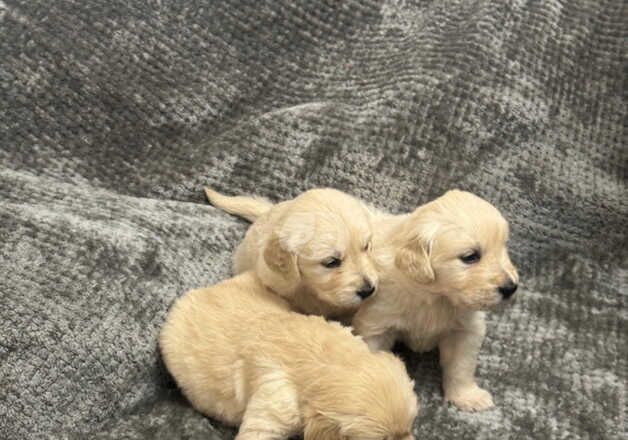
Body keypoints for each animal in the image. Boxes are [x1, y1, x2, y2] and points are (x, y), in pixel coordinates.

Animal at [354, 190, 520, 412]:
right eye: (470, 257)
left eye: (503, 247)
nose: (511, 287)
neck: (435, 297)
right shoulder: (376, 324)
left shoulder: (465, 331)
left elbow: (461, 366)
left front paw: (467, 396)